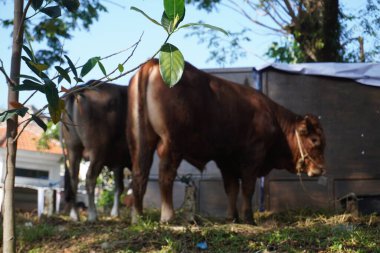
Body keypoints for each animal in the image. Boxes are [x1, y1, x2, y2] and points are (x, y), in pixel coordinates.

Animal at [62, 81, 132, 221]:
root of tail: (80, 88)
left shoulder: (118, 161)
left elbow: (119, 186)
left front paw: (115, 212)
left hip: (72, 148)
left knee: (74, 179)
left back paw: (74, 214)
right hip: (97, 150)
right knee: (90, 178)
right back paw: (92, 215)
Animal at [126, 59, 326, 223]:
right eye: (315, 139)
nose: (320, 169)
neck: (273, 120)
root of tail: (153, 62)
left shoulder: (226, 160)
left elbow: (231, 188)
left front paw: (232, 217)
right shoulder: (252, 158)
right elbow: (247, 188)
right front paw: (248, 218)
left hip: (141, 141)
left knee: (140, 174)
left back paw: (138, 217)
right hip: (171, 145)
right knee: (165, 175)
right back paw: (168, 216)